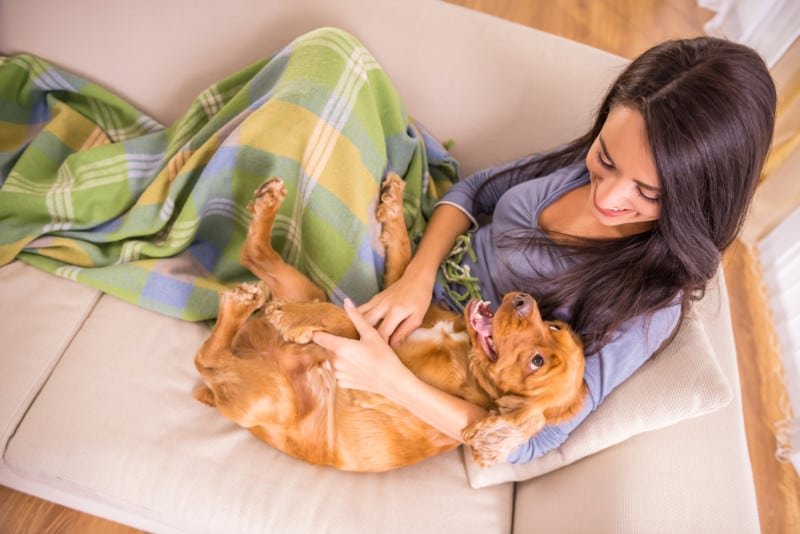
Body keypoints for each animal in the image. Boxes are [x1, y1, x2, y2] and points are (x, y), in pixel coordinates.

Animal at [194, 174, 588, 472]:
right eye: (556, 327)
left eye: (537, 362)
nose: (523, 301)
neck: (463, 347)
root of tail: (209, 395)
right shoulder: (404, 305)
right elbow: (405, 256)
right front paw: (395, 201)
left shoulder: (381, 356)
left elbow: (346, 319)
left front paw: (293, 317)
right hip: (311, 291)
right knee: (253, 255)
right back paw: (267, 207)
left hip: (272, 394)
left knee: (208, 359)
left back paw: (241, 304)